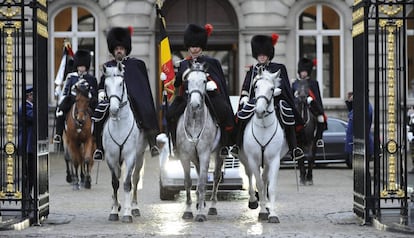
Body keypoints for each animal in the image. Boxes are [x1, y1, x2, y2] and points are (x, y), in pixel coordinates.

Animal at [101, 62, 146, 223]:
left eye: (121, 84)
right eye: (106, 85)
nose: (114, 109)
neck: (120, 124)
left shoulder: (130, 156)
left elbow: (127, 183)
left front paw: (127, 213)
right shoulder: (111, 157)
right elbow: (115, 183)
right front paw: (114, 210)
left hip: (139, 156)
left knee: (135, 178)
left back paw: (134, 207)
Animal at [175, 61, 222, 221]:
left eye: (204, 81)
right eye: (187, 81)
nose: (195, 104)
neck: (195, 121)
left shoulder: (204, 154)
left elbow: (201, 183)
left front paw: (201, 213)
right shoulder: (184, 155)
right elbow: (188, 182)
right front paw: (188, 210)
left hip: (219, 154)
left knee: (216, 177)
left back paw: (212, 206)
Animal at [239, 69, 288, 223]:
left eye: (272, 89)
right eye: (256, 86)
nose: (260, 111)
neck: (264, 128)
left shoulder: (274, 160)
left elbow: (270, 187)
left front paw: (272, 214)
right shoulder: (253, 160)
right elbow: (259, 184)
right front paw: (261, 212)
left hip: (266, 162)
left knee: (265, 177)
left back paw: (265, 205)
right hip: (245, 159)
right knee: (249, 175)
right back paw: (254, 201)